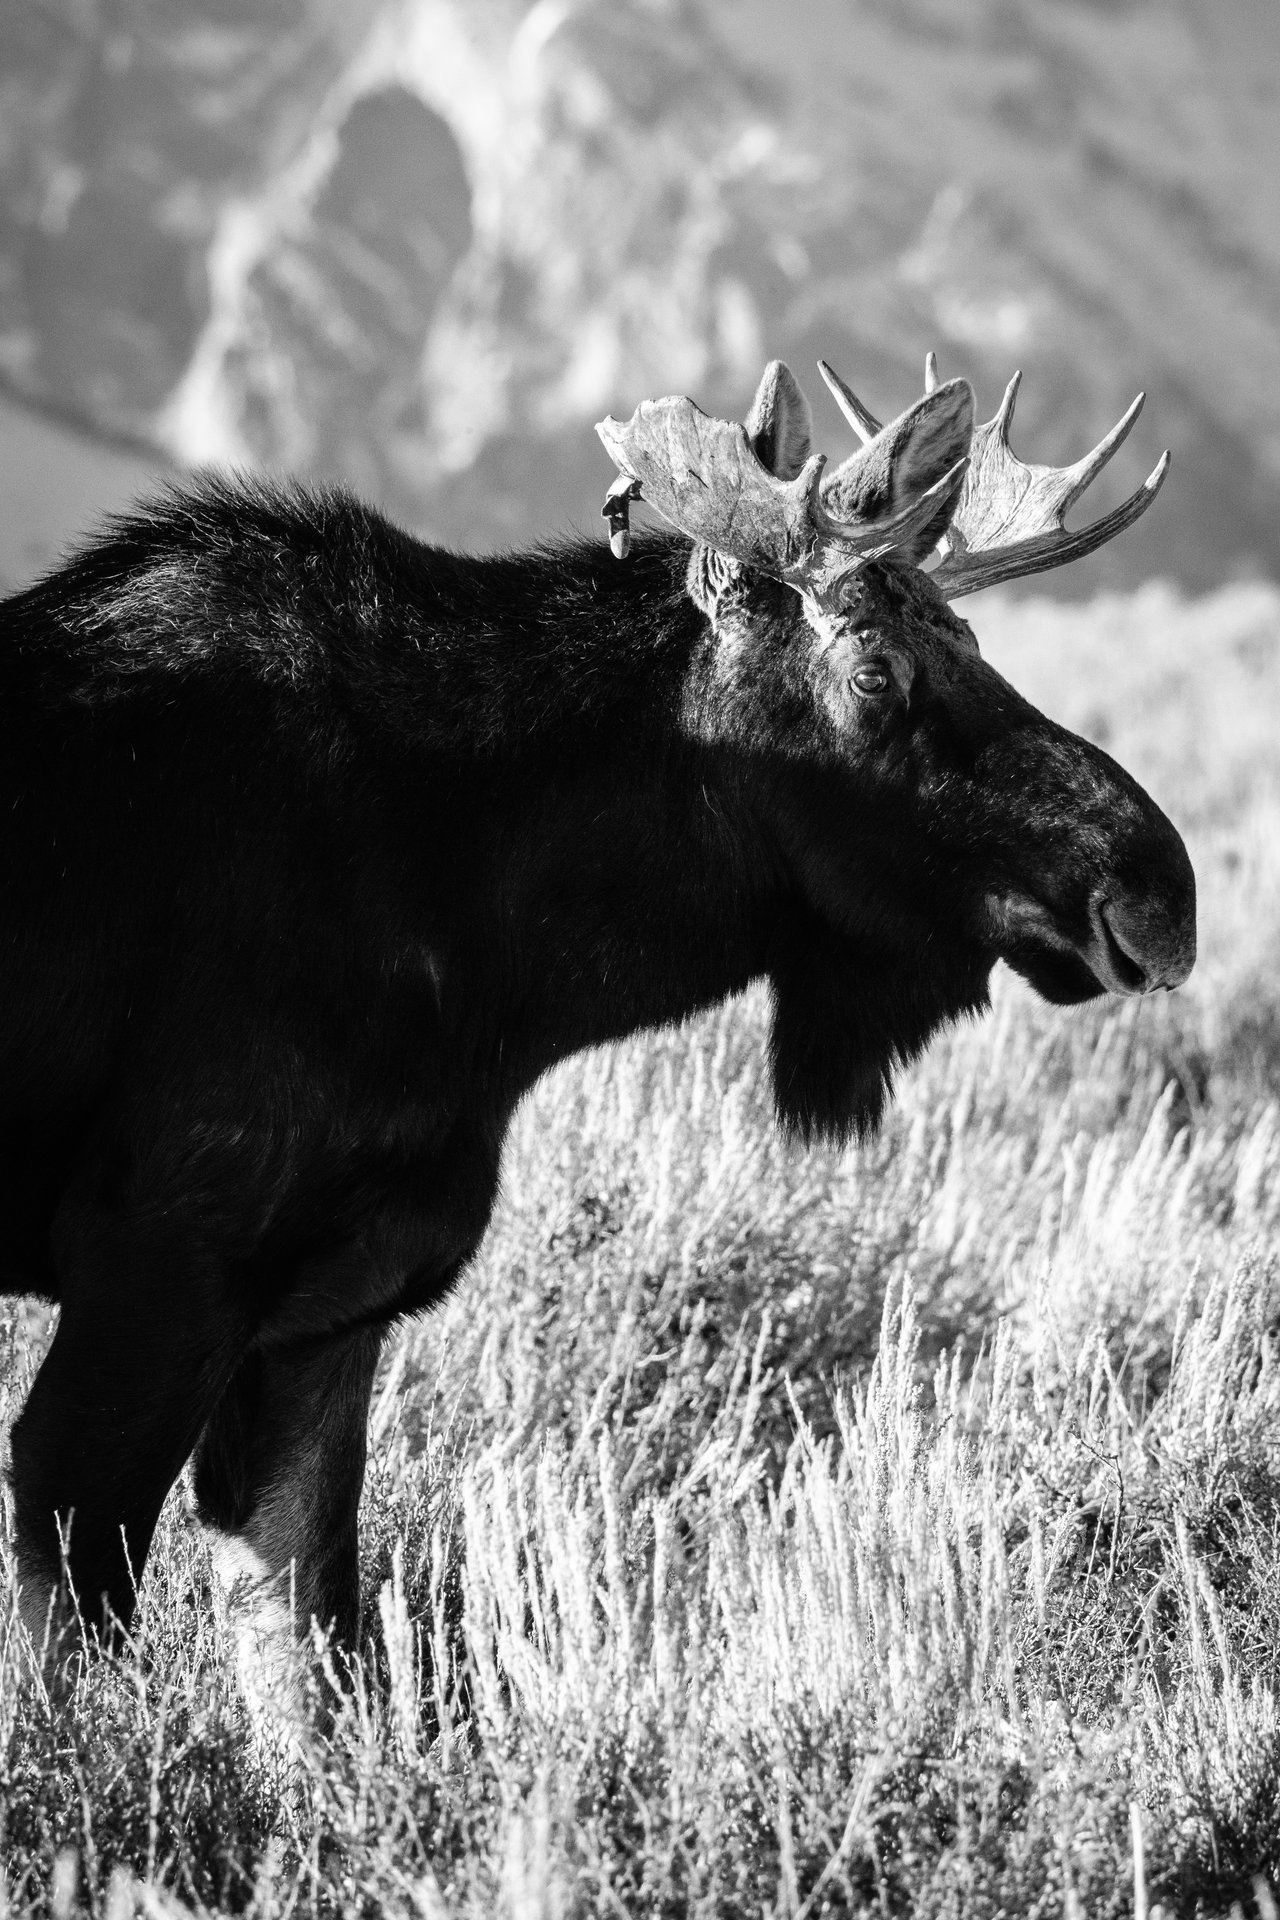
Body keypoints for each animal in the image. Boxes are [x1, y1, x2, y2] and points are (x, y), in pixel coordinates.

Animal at [0, 351, 1192, 1734]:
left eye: (972, 643)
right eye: (873, 670)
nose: (1156, 887)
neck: (504, 975)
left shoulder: (324, 1308)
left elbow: (309, 1660)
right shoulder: (157, 1270)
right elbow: (73, 1672)